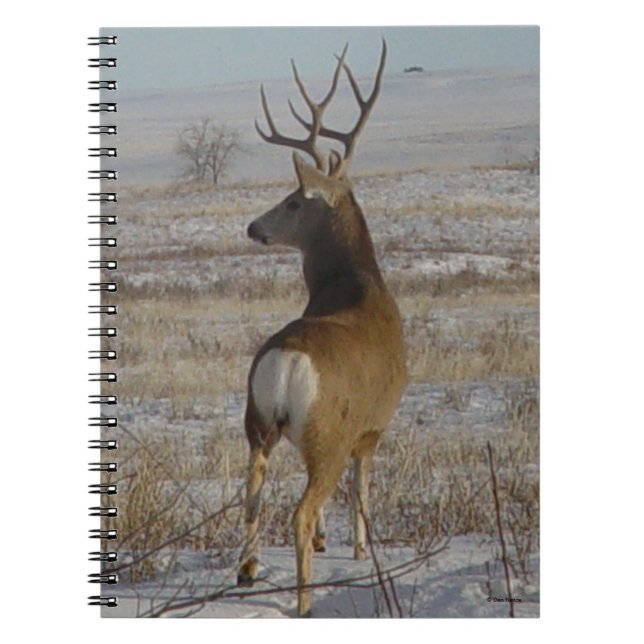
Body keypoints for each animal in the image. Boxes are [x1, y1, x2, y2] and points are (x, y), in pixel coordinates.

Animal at [237, 40, 407, 618]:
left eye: (292, 201)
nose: (253, 227)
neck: (358, 286)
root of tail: (286, 362)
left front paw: (328, 542)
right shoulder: (372, 427)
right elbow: (363, 487)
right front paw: (356, 547)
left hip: (257, 421)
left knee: (252, 492)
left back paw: (247, 570)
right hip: (327, 433)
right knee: (301, 507)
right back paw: (304, 599)